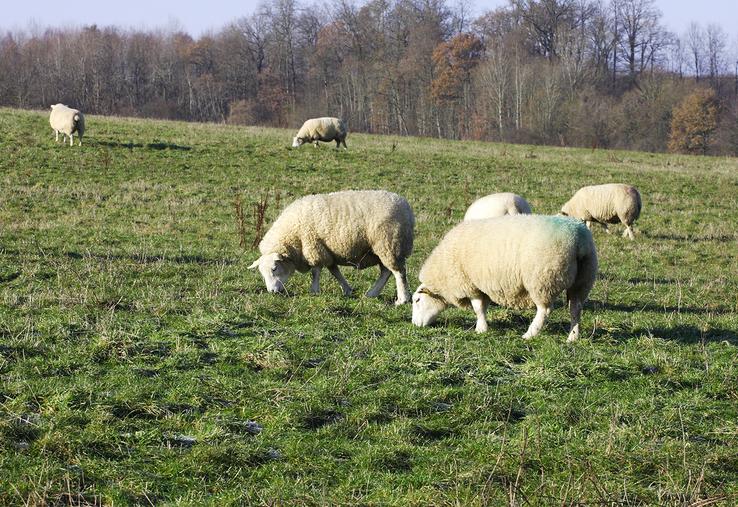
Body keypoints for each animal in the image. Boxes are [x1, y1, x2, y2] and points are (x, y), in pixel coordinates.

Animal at [249, 189, 414, 304]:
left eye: (274, 268)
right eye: (262, 273)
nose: (272, 292)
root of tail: (406, 207)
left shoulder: (314, 248)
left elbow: (315, 272)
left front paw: (314, 291)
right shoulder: (328, 251)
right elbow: (335, 272)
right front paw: (347, 290)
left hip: (389, 244)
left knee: (398, 272)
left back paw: (402, 299)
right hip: (383, 249)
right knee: (386, 272)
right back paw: (372, 293)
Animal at [412, 216, 596, 344]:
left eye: (417, 300)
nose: (414, 325)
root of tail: (579, 239)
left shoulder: (470, 284)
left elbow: (477, 308)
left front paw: (481, 329)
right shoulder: (482, 287)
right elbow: (483, 308)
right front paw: (482, 326)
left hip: (543, 279)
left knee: (545, 310)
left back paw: (530, 334)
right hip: (583, 280)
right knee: (575, 308)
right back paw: (572, 337)